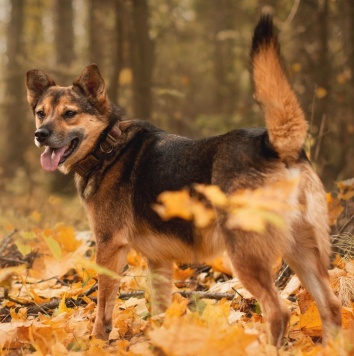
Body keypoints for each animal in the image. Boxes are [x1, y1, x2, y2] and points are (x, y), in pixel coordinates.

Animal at [24, 15, 340, 346]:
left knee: (279, 312)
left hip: (246, 256)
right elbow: (161, 308)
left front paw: (97, 341)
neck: (107, 146)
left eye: (69, 114)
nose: (40, 134)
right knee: (331, 307)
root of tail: (272, 144)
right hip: (302, 252)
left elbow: (104, 303)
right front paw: (161, 342)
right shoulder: (159, 261)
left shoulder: (109, 246)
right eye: (40, 113)